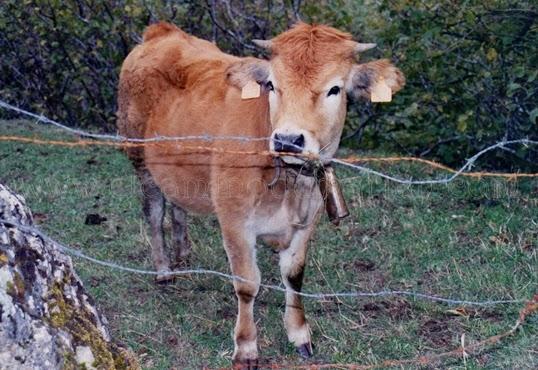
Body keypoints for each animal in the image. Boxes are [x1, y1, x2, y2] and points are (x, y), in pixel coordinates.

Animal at [117, 22, 402, 368]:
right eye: (271, 85)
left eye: (335, 89)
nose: (288, 139)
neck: (287, 184)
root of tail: (163, 32)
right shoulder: (234, 221)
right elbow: (247, 283)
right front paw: (246, 347)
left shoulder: (307, 222)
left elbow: (294, 275)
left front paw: (299, 334)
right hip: (138, 158)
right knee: (154, 213)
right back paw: (164, 270)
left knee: (177, 205)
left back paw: (182, 253)